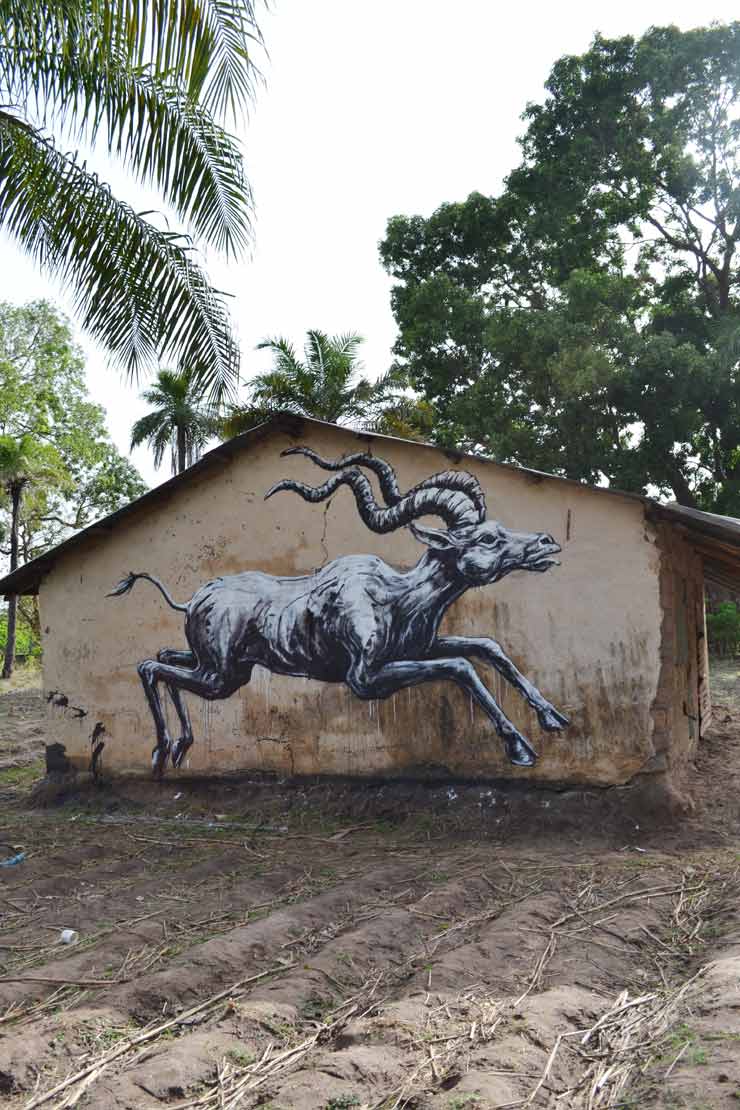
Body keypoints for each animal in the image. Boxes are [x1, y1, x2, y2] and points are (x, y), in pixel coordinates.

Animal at [109, 448, 568, 775]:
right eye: (488, 538)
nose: (547, 542)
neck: (395, 596)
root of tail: (195, 600)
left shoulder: (420, 647)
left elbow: (487, 645)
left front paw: (553, 717)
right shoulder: (365, 678)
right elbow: (460, 665)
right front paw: (519, 747)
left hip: (221, 669)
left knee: (164, 659)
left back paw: (181, 749)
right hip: (220, 677)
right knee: (149, 667)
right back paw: (160, 753)